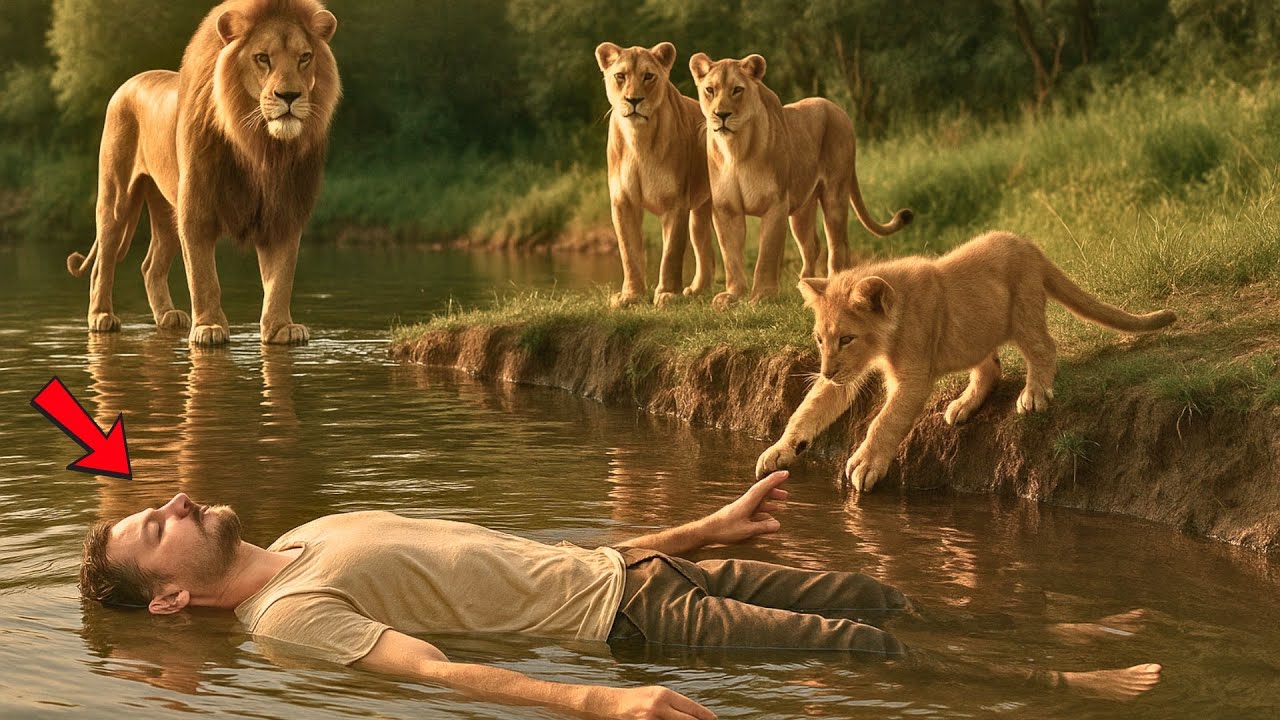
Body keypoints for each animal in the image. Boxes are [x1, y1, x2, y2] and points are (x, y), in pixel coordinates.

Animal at [66, 0, 340, 346]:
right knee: (103, 263)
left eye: (305, 57)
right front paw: (209, 328)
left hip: (166, 208)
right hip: (116, 198)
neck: (260, 146)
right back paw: (101, 316)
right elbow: (202, 276)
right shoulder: (196, 210)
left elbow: (281, 279)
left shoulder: (284, 211)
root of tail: (128, 82)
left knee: (150, 265)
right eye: (262, 58)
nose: (289, 96)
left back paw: (168, 315)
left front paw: (281, 328)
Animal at [595, 42, 716, 308]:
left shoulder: (676, 203)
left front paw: (668, 294)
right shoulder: (623, 202)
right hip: (701, 211)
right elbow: (628, 252)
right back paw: (697, 290)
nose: (634, 100)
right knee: (704, 246)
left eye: (648, 76)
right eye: (620, 76)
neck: (638, 139)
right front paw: (631, 296)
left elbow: (671, 252)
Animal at [689, 53, 913, 308]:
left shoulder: (776, 204)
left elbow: (767, 254)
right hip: (802, 208)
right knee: (812, 244)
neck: (735, 149)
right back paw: (805, 286)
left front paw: (762, 295)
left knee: (838, 243)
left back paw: (831, 287)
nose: (722, 115)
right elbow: (731, 255)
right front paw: (731, 295)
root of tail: (837, 108)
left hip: (835, 193)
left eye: (737, 90)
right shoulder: (726, 208)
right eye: (710, 90)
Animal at [755, 231, 1177, 492]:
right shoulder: (849, 374)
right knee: (991, 368)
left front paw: (864, 465)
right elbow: (810, 409)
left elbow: (884, 420)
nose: (827, 370)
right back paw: (962, 406)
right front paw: (778, 451)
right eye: (820, 339)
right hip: (978, 335)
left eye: (846, 338)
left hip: (1023, 310)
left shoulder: (913, 377)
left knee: (1044, 348)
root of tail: (1029, 245)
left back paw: (1035, 394)